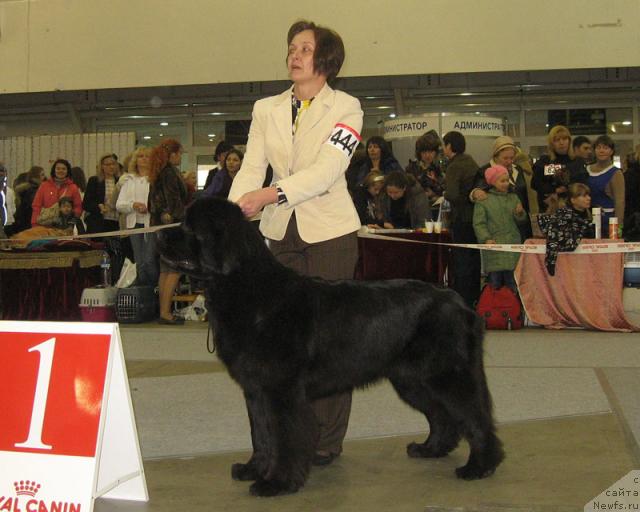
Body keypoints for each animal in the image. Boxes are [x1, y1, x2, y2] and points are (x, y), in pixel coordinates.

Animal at [158, 197, 502, 496]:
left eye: (189, 227)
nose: (160, 233)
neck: (247, 290)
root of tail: (461, 303)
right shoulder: (256, 389)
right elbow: (261, 433)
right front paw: (253, 469)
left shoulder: (282, 389)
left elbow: (284, 436)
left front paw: (277, 483)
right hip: (412, 380)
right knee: (442, 416)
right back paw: (430, 449)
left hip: (446, 375)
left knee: (475, 416)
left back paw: (480, 466)